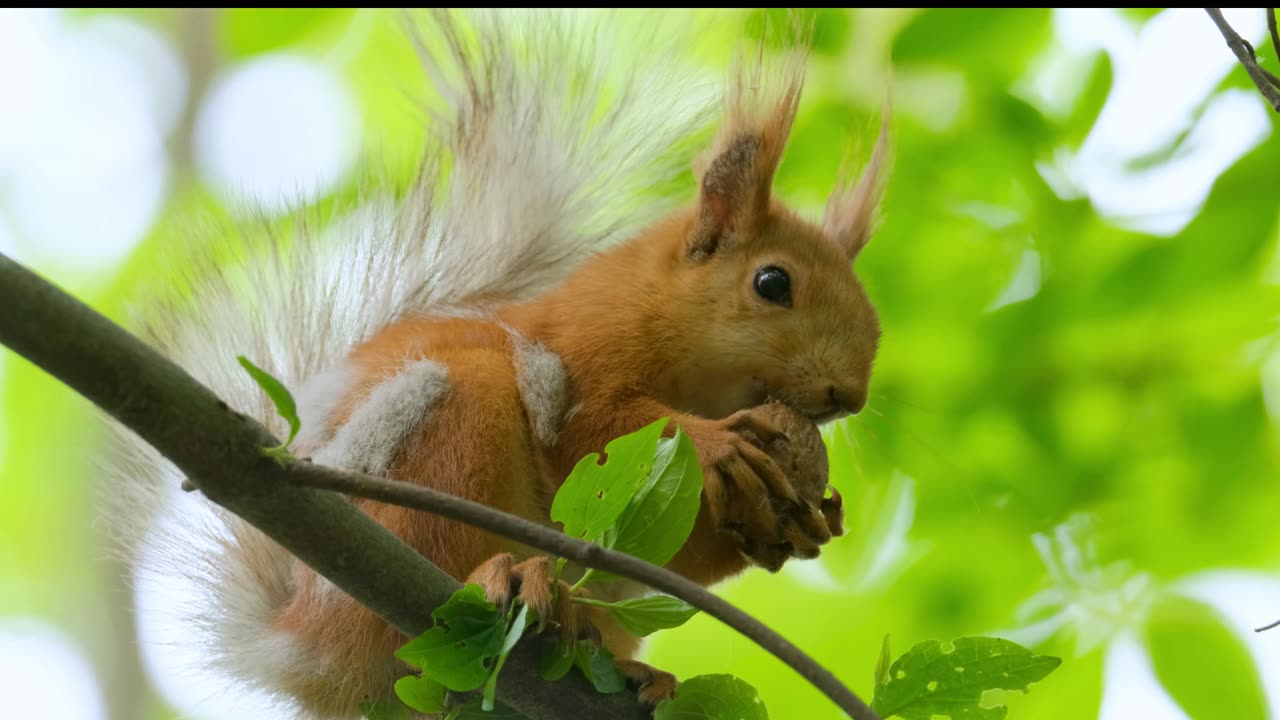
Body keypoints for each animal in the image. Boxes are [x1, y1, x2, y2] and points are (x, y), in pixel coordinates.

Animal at [102, 7, 890, 717]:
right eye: (772, 283)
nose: (848, 396)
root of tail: (308, 652)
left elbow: (678, 551)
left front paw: (809, 519)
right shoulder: (585, 348)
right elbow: (598, 433)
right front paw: (717, 442)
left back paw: (624, 662)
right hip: (441, 440)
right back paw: (504, 577)